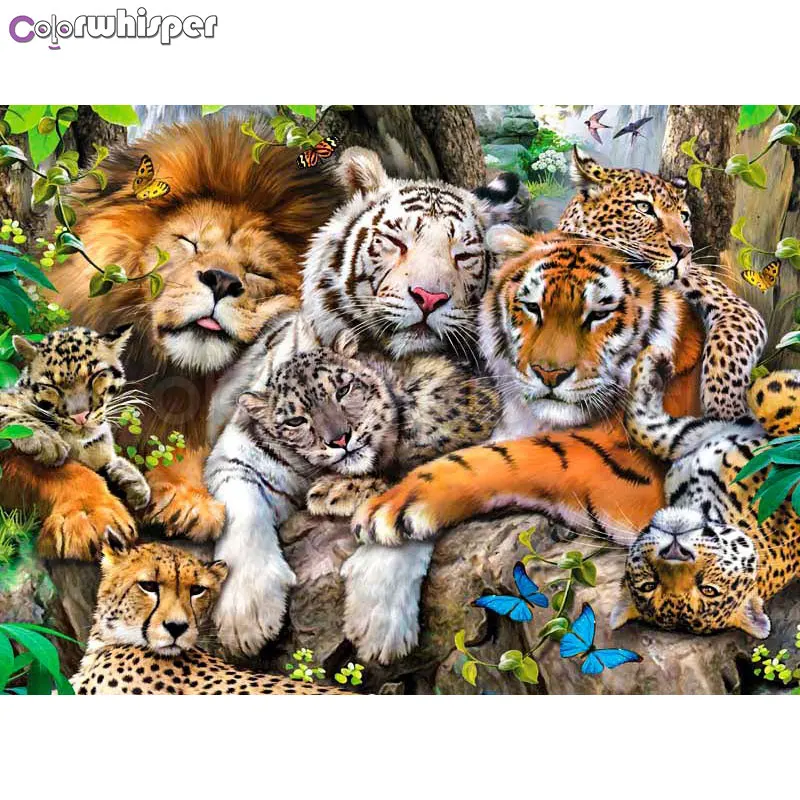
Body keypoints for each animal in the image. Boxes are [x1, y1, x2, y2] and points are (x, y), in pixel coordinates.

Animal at [204, 146, 520, 656]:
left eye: (464, 255)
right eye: (395, 241)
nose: (429, 296)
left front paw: (378, 620)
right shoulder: (239, 453)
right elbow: (242, 512)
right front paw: (246, 614)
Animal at [343, 229, 706, 663]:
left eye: (599, 313)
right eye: (533, 307)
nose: (549, 374)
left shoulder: (637, 474)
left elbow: (520, 456)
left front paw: (389, 507)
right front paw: (376, 606)